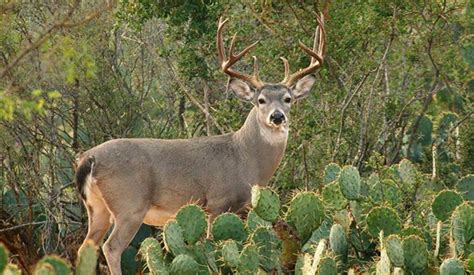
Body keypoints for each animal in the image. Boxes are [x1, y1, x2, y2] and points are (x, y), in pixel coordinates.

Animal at [77, 14, 326, 274]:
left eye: (288, 99)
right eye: (261, 100)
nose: (277, 117)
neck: (245, 157)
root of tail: (89, 158)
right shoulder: (217, 202)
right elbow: (212, 248)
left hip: (97, 208)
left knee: (86, 248)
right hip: (129, 205)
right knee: (111, 247)